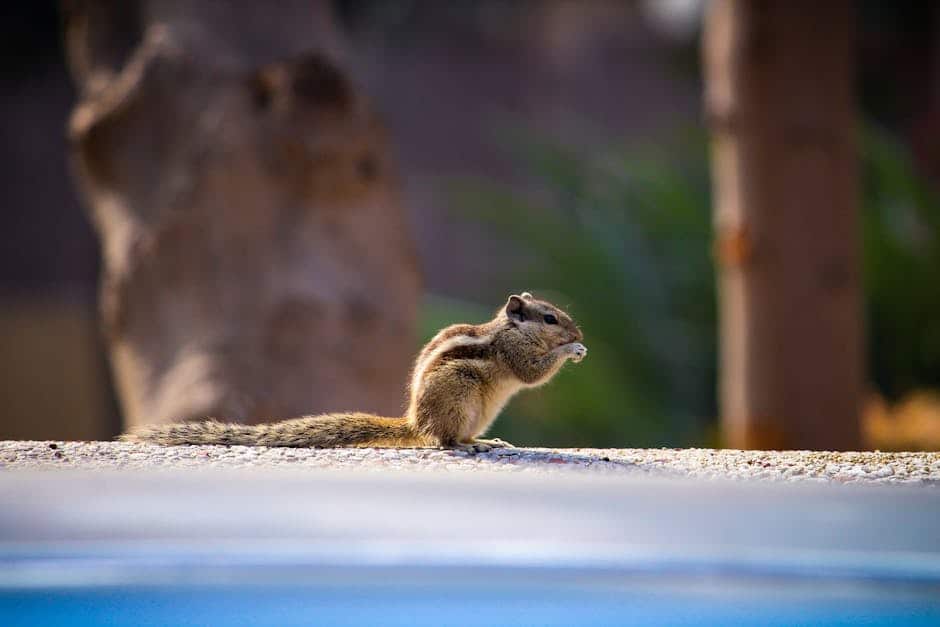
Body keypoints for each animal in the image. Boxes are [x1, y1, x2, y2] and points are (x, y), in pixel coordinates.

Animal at [122, 292, 586, 453]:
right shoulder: (514, 353)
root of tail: (415, 422)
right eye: (550, 318)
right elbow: (532, 373)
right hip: (459, 395)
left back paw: (488, 441)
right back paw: (468, 445)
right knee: (443, 441)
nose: (579, 332)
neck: (511, 328)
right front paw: (571, 350)